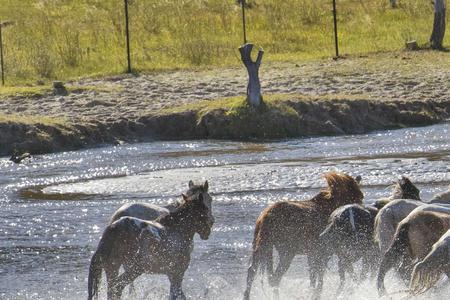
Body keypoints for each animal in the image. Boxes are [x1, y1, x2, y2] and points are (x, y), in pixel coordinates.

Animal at [243, 171, 362, 300]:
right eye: (359, 197)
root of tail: (265, 217)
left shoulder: (313, 253)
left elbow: (313, 276)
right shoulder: (325, 252)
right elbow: (320, 276)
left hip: (260, 246)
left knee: (253, 272)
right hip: (287, 252)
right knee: (275, 277)